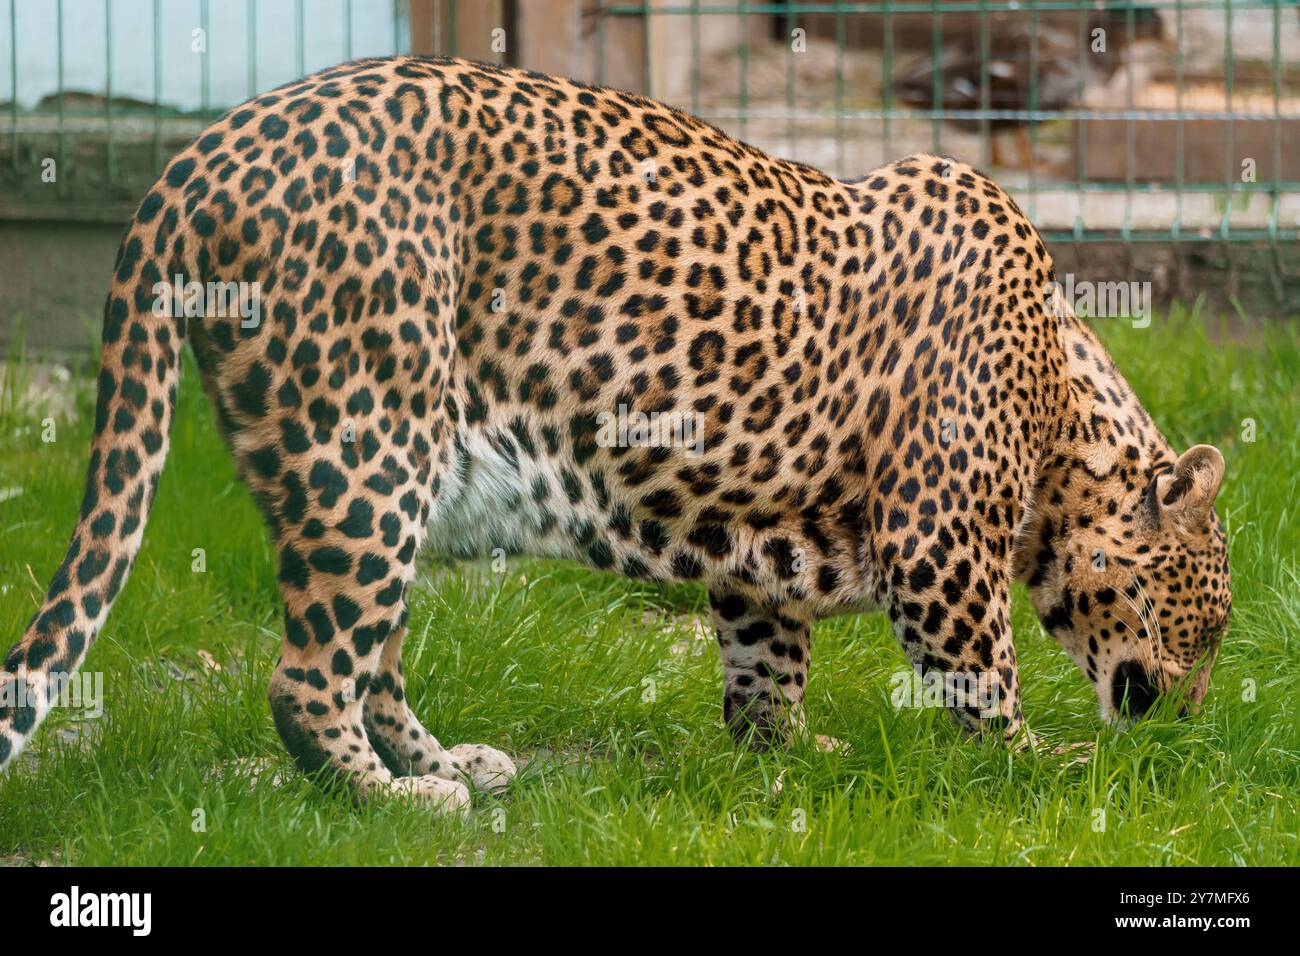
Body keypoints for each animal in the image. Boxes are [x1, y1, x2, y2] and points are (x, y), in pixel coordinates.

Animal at [0, 56, 1231, 811]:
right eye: (1208, 623)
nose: (1189, 722)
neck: (1062, 404)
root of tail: (193, 157)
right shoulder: (941, 544)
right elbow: (983, 673)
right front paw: (1042, 766)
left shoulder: (759, 536)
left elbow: (765, 656)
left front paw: (788, 752)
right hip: (369, 439)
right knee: (306, 677)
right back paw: (398, 799)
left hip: (373, 472)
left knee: (368, 655)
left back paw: (454, 763)